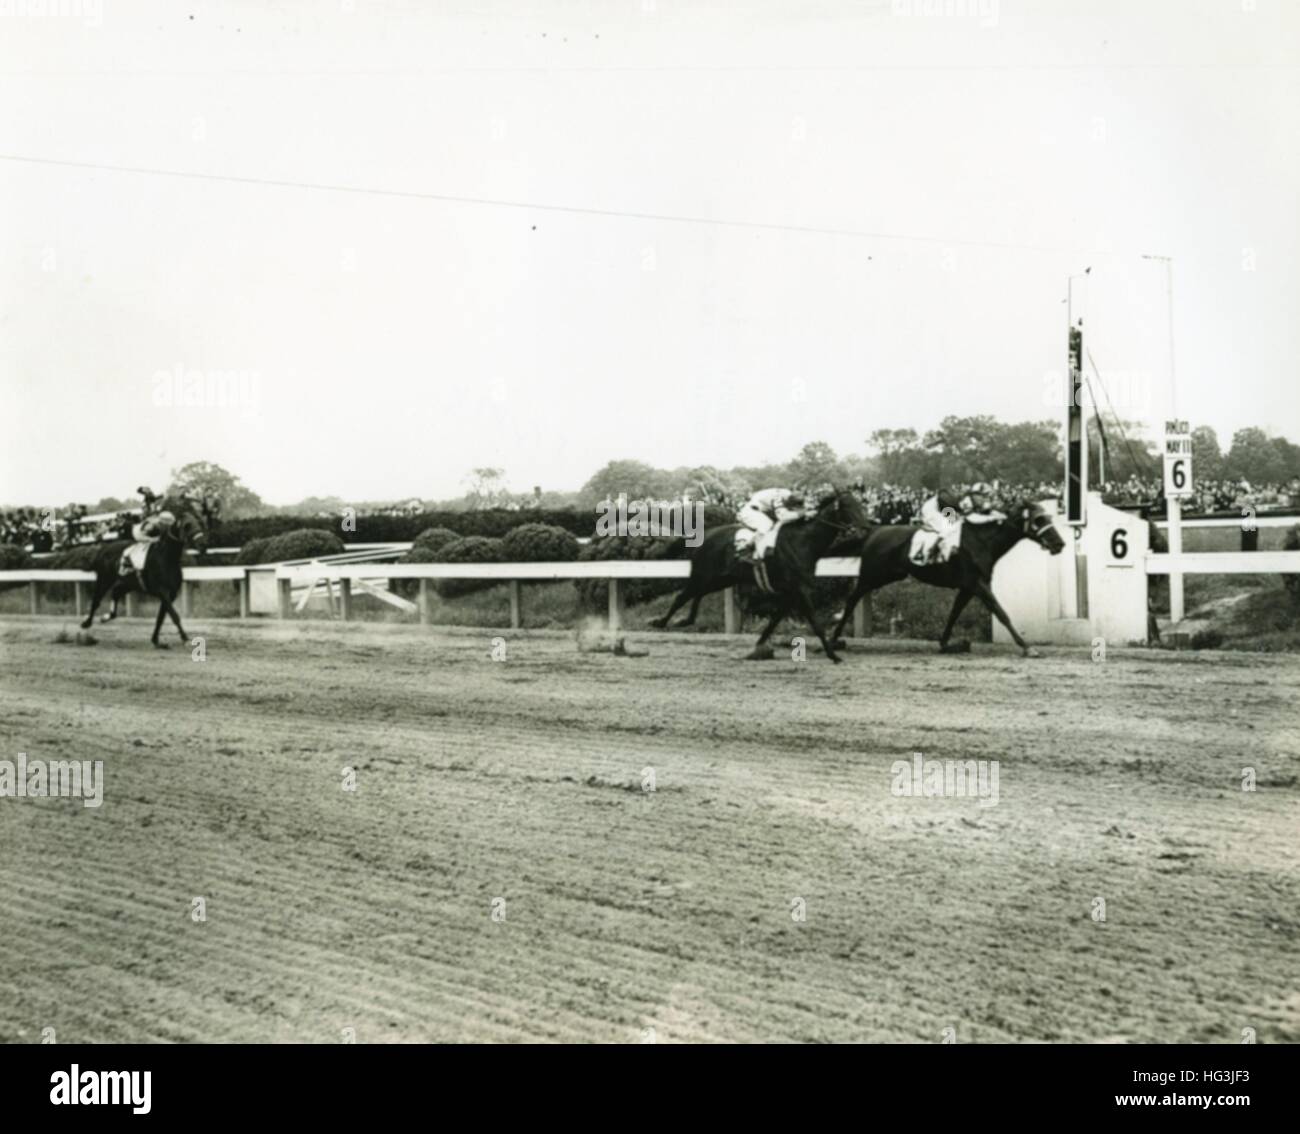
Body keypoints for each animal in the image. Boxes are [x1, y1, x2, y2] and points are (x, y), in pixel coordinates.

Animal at [78, 494, 210, 647]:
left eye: (200, 522)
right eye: (187, 526)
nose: (203, 545)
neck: (167, 558)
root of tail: (103, 549)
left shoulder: (171, 594)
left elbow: (161, 617)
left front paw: (156, 640)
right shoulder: (162, 591)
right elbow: (174, 615)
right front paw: (185, 638)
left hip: (128, 583)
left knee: (116, 593)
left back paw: (106, 617)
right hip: (105, 578)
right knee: (96, 600)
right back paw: (86, 623)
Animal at [647, 488, 868, 663]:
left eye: (860, 505)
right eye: (847, 507)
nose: (865, 528)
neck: (803, 542)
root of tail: (705, 534)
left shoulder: (790, 593)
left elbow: (775, 620)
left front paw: (759, 645)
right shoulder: (800, 591)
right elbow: (815, 623)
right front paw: (833, 655)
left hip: (721, 579)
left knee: (696, 595)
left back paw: (686, 620)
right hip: (704, 576)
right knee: (682, 596)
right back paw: (661, 622)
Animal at [832, 501, 1066, 660]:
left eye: (1048, 517)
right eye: (1039, 519)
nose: (1059, 544)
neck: (981, 541)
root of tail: (873, 532)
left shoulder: (968, 587)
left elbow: (954, 613)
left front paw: (946, 643)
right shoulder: (978, 585)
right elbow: (1001, 613)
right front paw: (1027, 647)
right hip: (873, 576)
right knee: (852, 600)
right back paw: (834, 640)